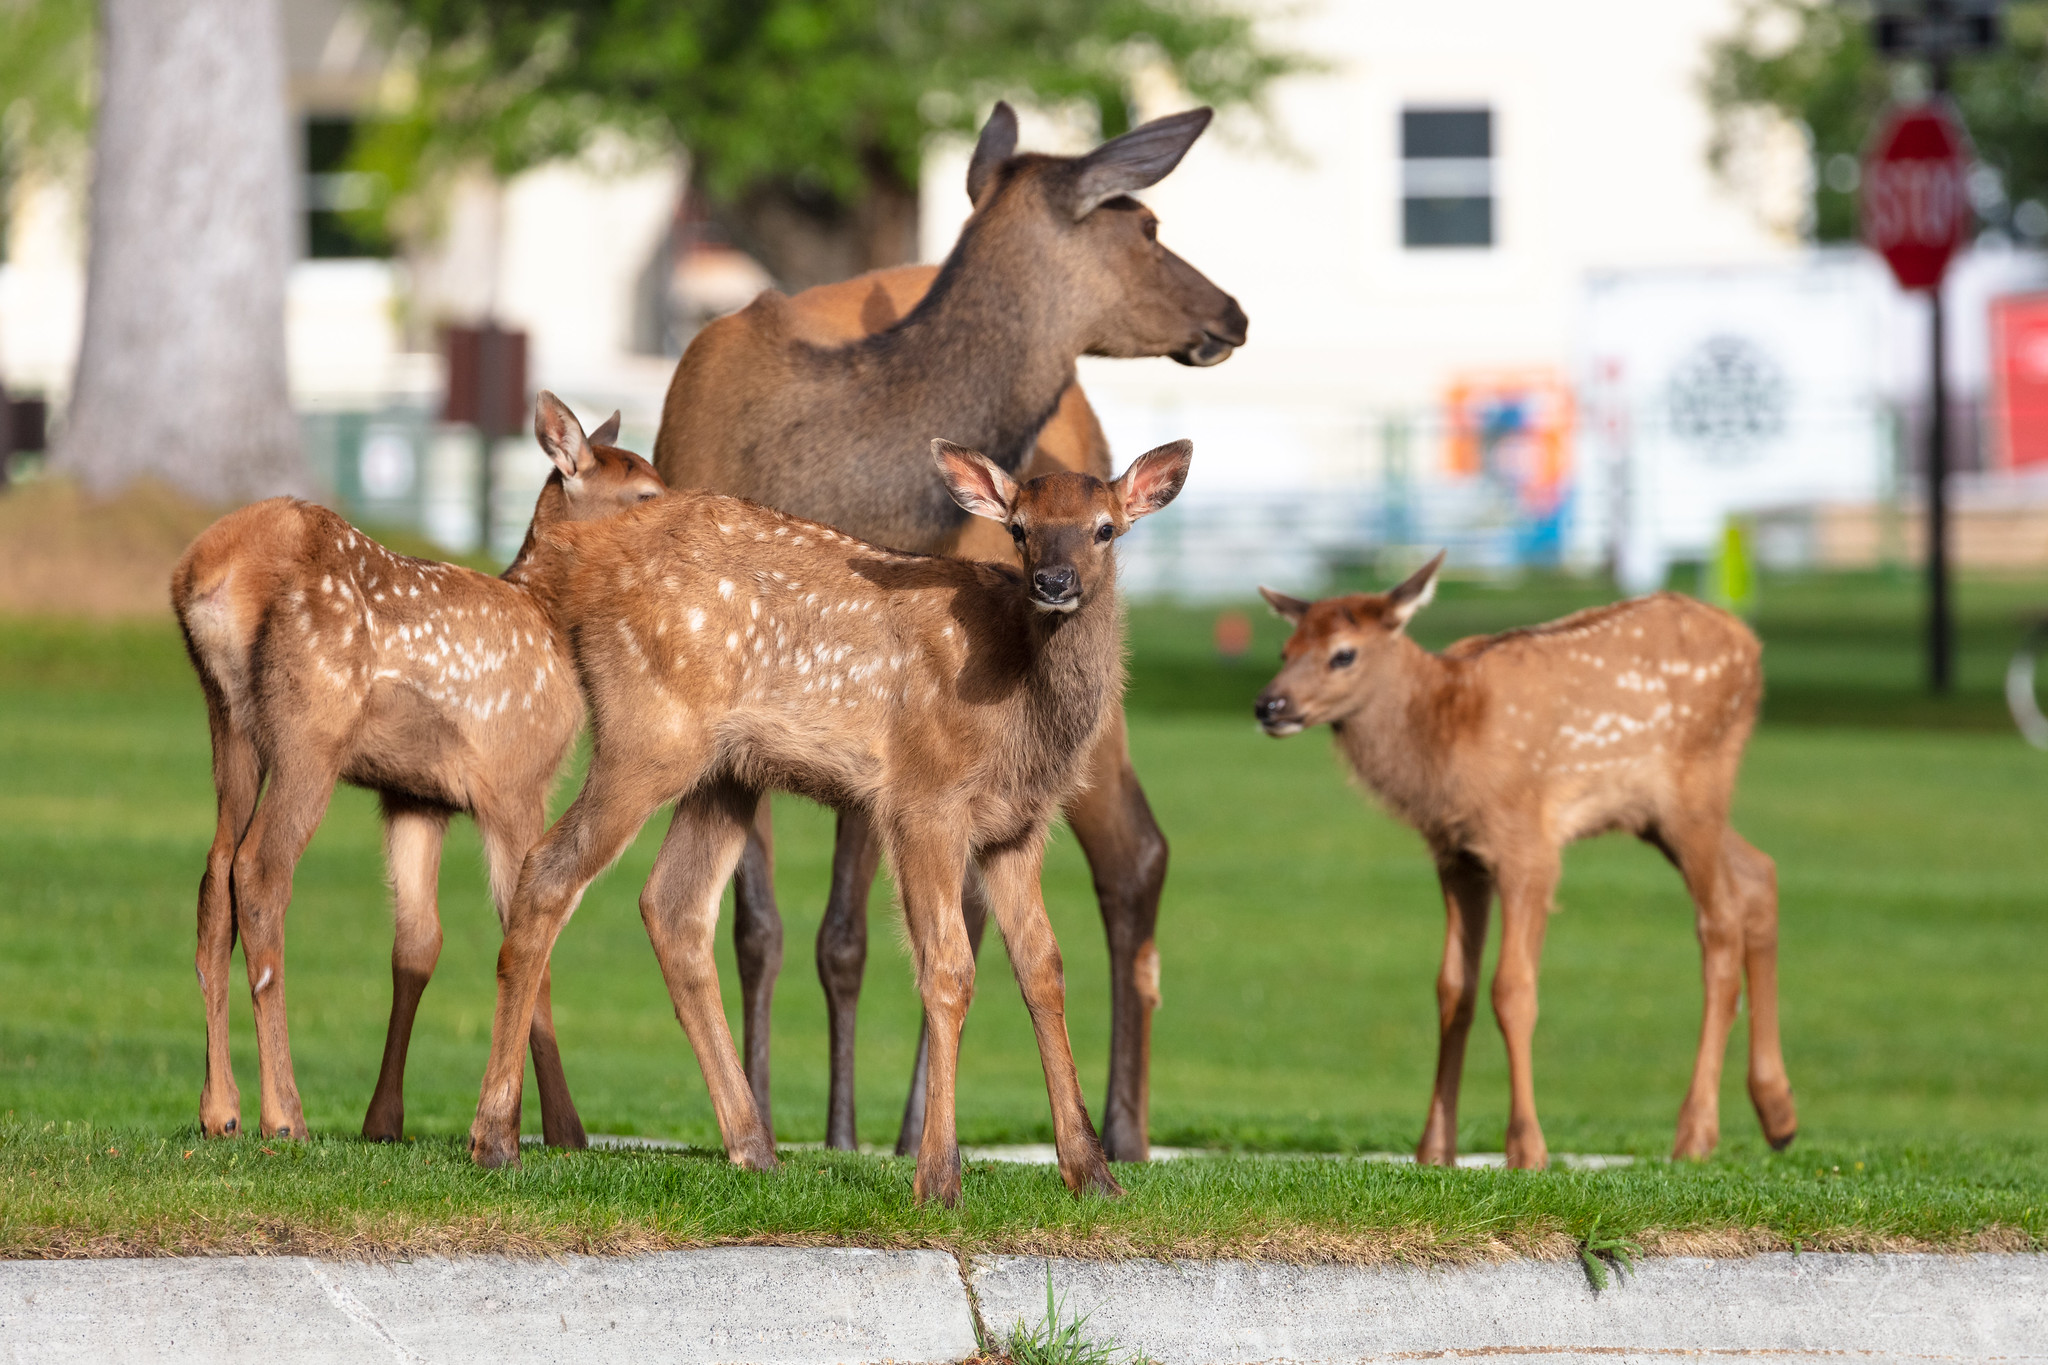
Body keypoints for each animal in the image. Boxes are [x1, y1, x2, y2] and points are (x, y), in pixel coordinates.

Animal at [173, 394, 663, 1146]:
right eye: (644, 494)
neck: (550, 623)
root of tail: (208, 573)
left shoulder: (414, 794)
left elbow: (416, 947)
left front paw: (384, 1121)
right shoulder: (515, 776)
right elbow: (531, 941)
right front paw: (562, 1129)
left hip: (227, 721)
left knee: (215, 872)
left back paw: (219, 1110)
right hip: (308, 729)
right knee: (259, 871)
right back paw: (284, 1116)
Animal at [468, 427, 1196, 1203]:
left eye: (1105, 528)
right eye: (1020, 529)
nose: (1054, 583)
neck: (1021, 711)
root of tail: (580, 571)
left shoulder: (1018, 827)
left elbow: (1044, 970)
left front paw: (1093, 1172)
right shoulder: (924, 798)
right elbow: (949, 969)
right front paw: (939, 1179)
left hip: (727, 771)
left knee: (673, 904)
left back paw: (754, 1146)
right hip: (647, 732)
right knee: (547, 871)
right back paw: (496, 1140)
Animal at [655, 101, 1236, 1162]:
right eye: (1148, 227)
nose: (1236, 312)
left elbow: (848, 932)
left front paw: (842, 1131)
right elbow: (757, 924)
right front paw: (768, 1113)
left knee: (1128, 851)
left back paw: (1114, 1126)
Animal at [1253, 560, 1802, 1170]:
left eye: (1343, 654)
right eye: (1284, 648)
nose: (1269, 706)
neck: (1444, 741)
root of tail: (1750, 645)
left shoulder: (1528, 845)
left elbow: (1512, 989)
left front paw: (1526, 1148)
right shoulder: (1456, 854)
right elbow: (1453, 988)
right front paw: (1433, 1149)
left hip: (1695, 788)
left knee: (1720, 923)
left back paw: (1696, 1134)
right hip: (1657, 815)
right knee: (1760, 872)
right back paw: (1779, 1116)